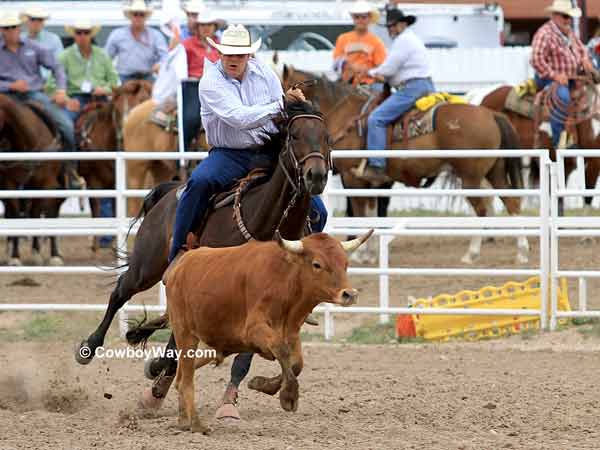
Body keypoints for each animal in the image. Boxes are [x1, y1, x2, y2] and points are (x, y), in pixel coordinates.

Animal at [72, 101, 330, 412]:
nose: (316, 176)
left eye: (327, 137)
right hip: (147, 266)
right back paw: (90, 347)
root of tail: (169, 191)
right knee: (120, 292)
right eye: (293, 135)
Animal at [284, 68, 528, 266]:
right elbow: (372, 214)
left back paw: (472, 253)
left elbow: (361, 213)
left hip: (471, 177)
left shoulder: (354, 178)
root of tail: (492, 114)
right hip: (494, 172)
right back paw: (522, 252)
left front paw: (359, 254)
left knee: (482, 210)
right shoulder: (371, 182)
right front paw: (370, 254)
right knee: (512, 202)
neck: (347, 116)